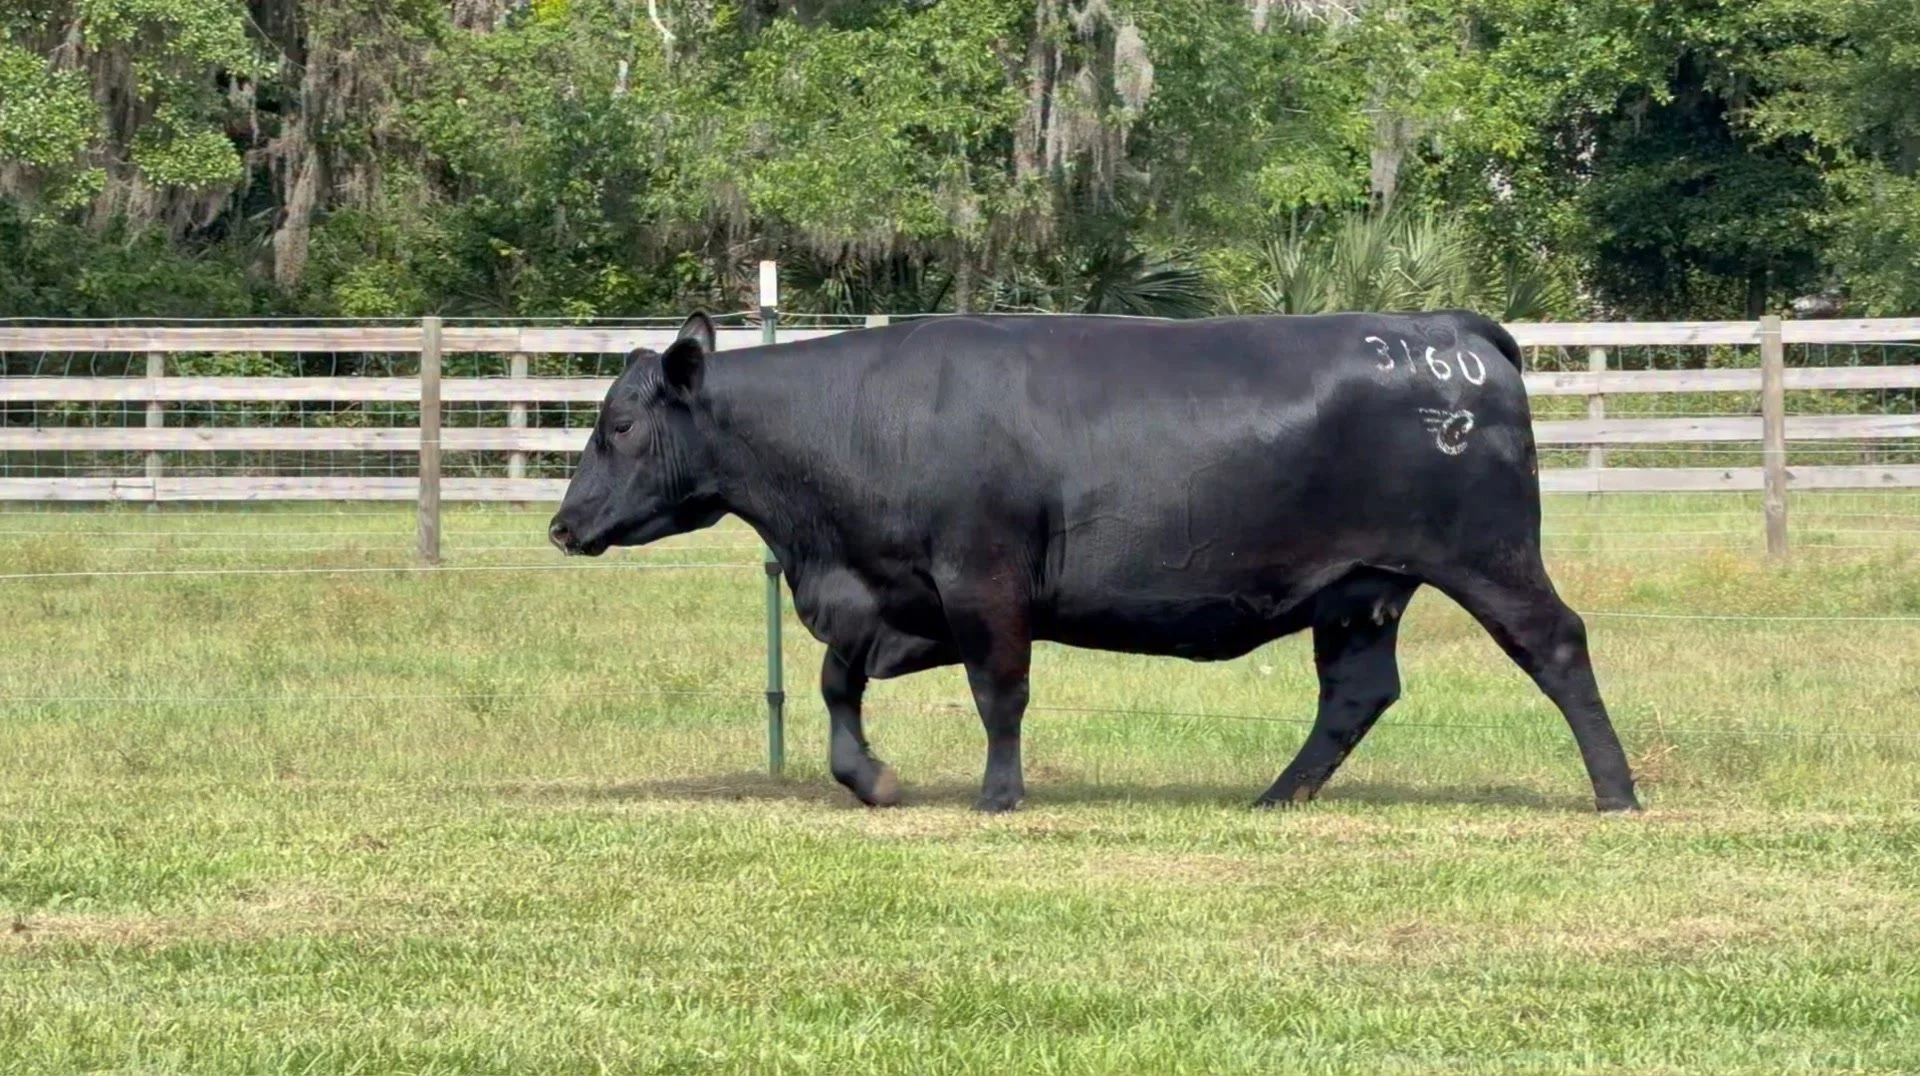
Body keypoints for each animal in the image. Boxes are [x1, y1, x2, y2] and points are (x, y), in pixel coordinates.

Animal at [548, 310, 1641, 814]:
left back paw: (1617, 789)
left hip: (1489, 556)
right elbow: (833, 679)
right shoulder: (896, 594)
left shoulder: (983, 579)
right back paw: (1275, 797)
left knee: (1558, 646)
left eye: (617, 424)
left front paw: (997, 794)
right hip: (1358, 591)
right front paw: (869, 777)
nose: (561, 527)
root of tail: (1447, 331)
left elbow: (1001, 690)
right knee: (1356, 694)